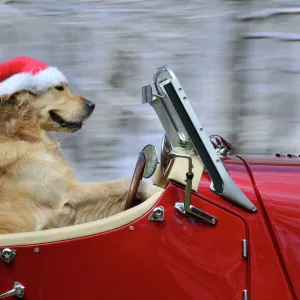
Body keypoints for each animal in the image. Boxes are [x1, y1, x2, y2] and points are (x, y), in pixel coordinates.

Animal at [0, 83, 162, 233]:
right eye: (59, 87)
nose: (92, 105)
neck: (21, 133)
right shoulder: (69, 193)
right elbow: (124, 183)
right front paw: (158, 194)